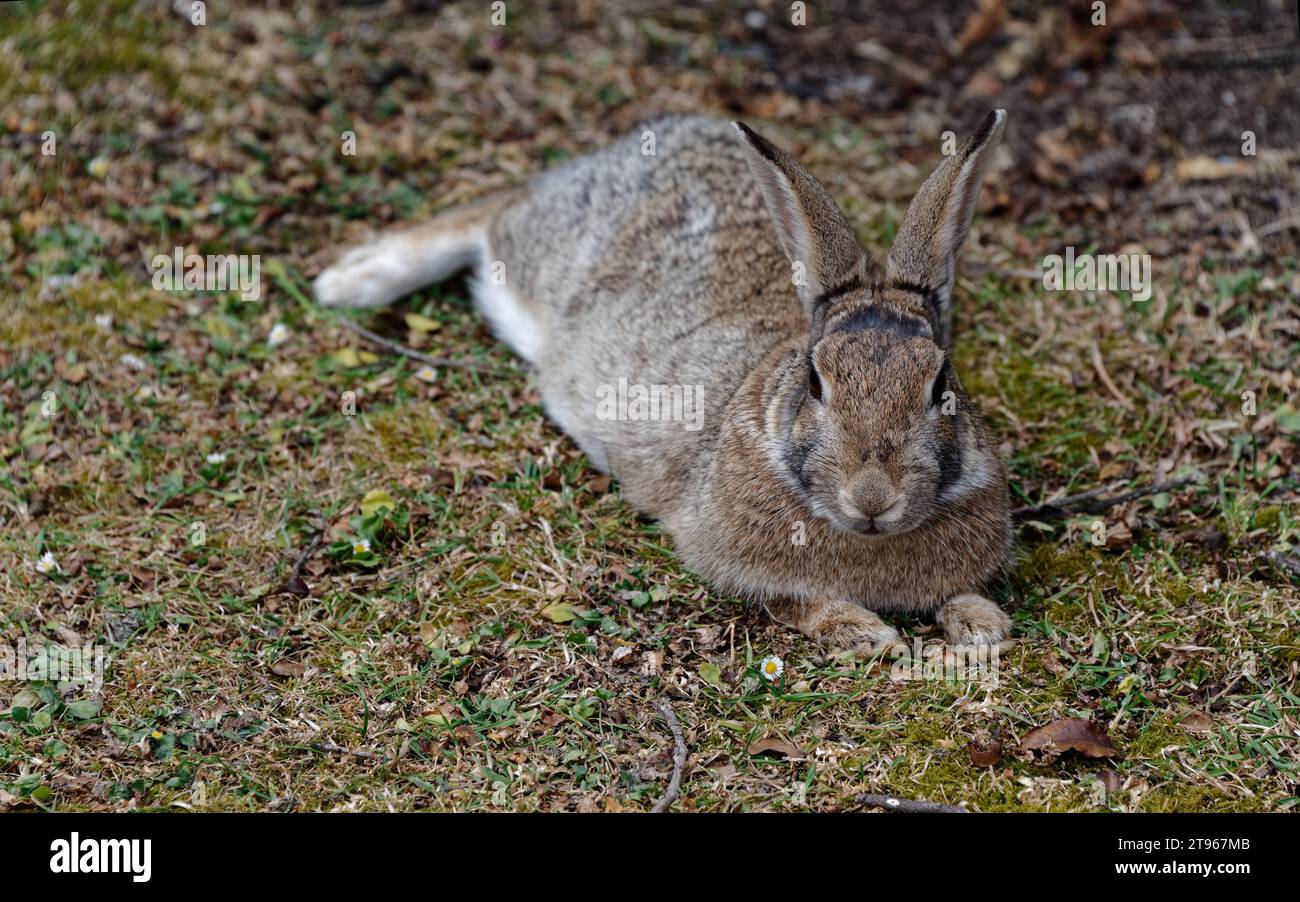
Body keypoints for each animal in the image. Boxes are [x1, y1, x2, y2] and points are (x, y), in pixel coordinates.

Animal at [314, 111, 1014, 652]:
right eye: (816, 383)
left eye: (940, 385)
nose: (871, 498)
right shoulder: (721, 555)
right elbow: (794, 603)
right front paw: (863, 632)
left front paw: (983, 626)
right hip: (544, 255)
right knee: (493, 213)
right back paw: (351, 279)